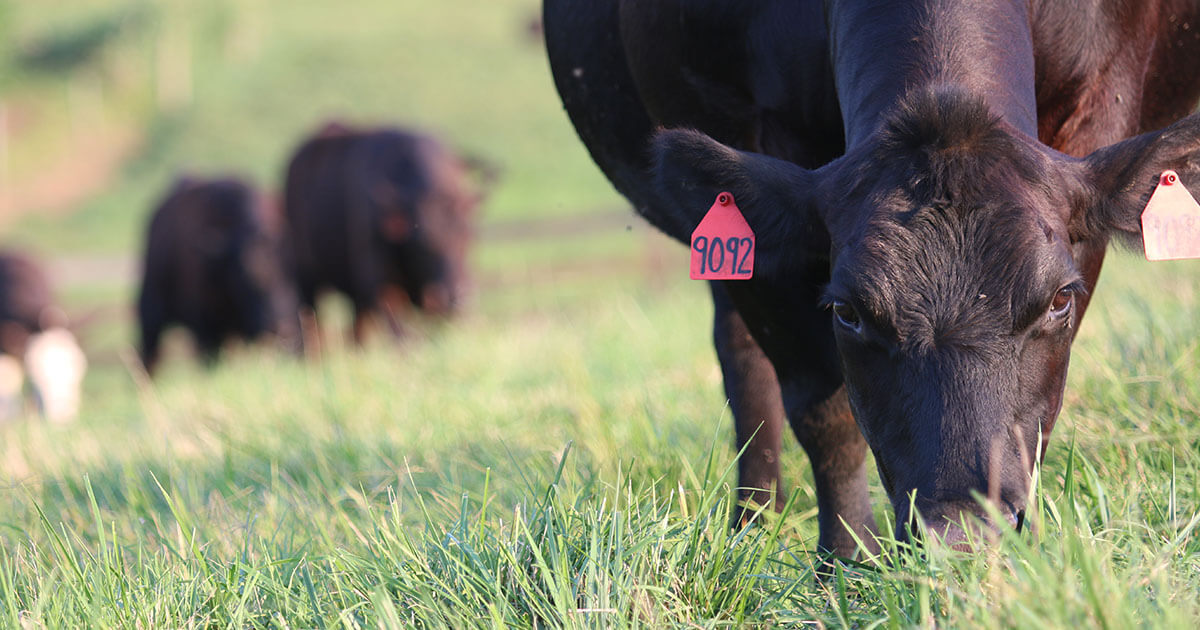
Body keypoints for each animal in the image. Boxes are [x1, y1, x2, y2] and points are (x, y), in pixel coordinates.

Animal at [137, 176, 299, 374]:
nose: (281, 328)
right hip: (151, 312)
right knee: (150, 354)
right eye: (245, 276)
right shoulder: (207, 330)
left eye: (295, 273)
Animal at [282, 123, 488, 345]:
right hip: (306, 278)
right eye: (422, 244)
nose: (457, 298)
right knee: (310, 322)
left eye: (468, 236)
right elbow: (401, 336)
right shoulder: (382, 287)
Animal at [545, 0, 1200, 556]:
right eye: (848, 312)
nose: (962, 534)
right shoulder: (740, 137)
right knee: (742, 357)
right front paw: (847, 564)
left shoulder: (1098, 109)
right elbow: (825, 412)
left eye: (1061, 299)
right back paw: (753, 527)